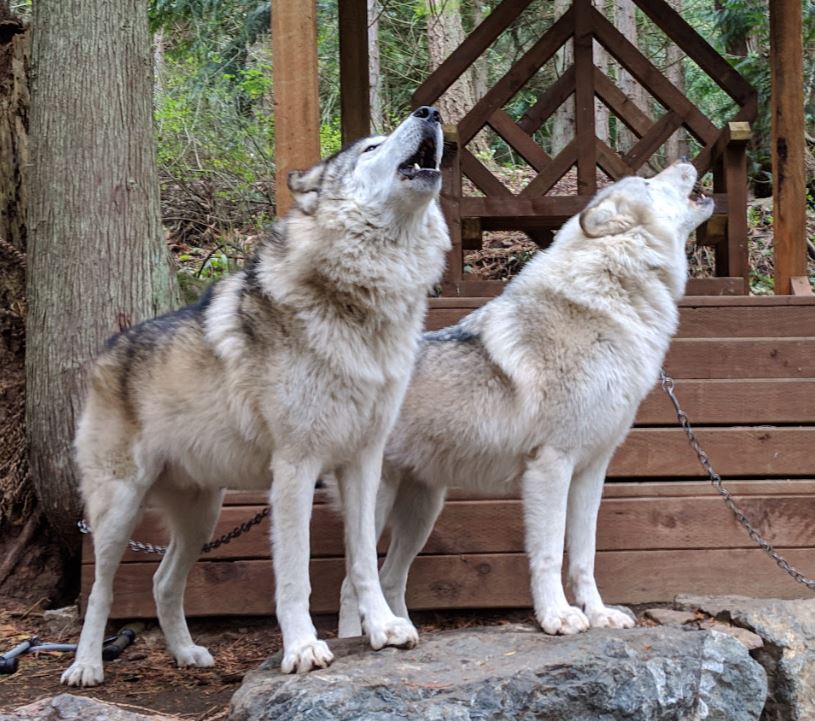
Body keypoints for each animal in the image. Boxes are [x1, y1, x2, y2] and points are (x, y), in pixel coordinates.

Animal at [62, 107, 450, 686]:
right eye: (371, 147)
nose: (430, 112)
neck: (361, 306)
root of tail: (108, 350)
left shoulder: (363, 463)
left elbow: (362, 560)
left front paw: (383, 629)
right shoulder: (294, 468)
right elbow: (295, 574)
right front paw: (303, 649)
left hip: (200, 517)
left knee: (161, 580)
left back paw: (187, 654)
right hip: (118, 510)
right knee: (102, 591)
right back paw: (86, 666)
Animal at [338, 162, 714, 638]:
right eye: (648, 183)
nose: (687, 161)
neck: (610, 301)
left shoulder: (592, 470)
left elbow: (585, 555)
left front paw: (599, 615)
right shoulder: (551, 465)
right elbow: (550, 552)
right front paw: (558, 617)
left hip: (423, 511)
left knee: (389, 577)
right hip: (381, 504)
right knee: (353, 581)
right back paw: (371, 639)